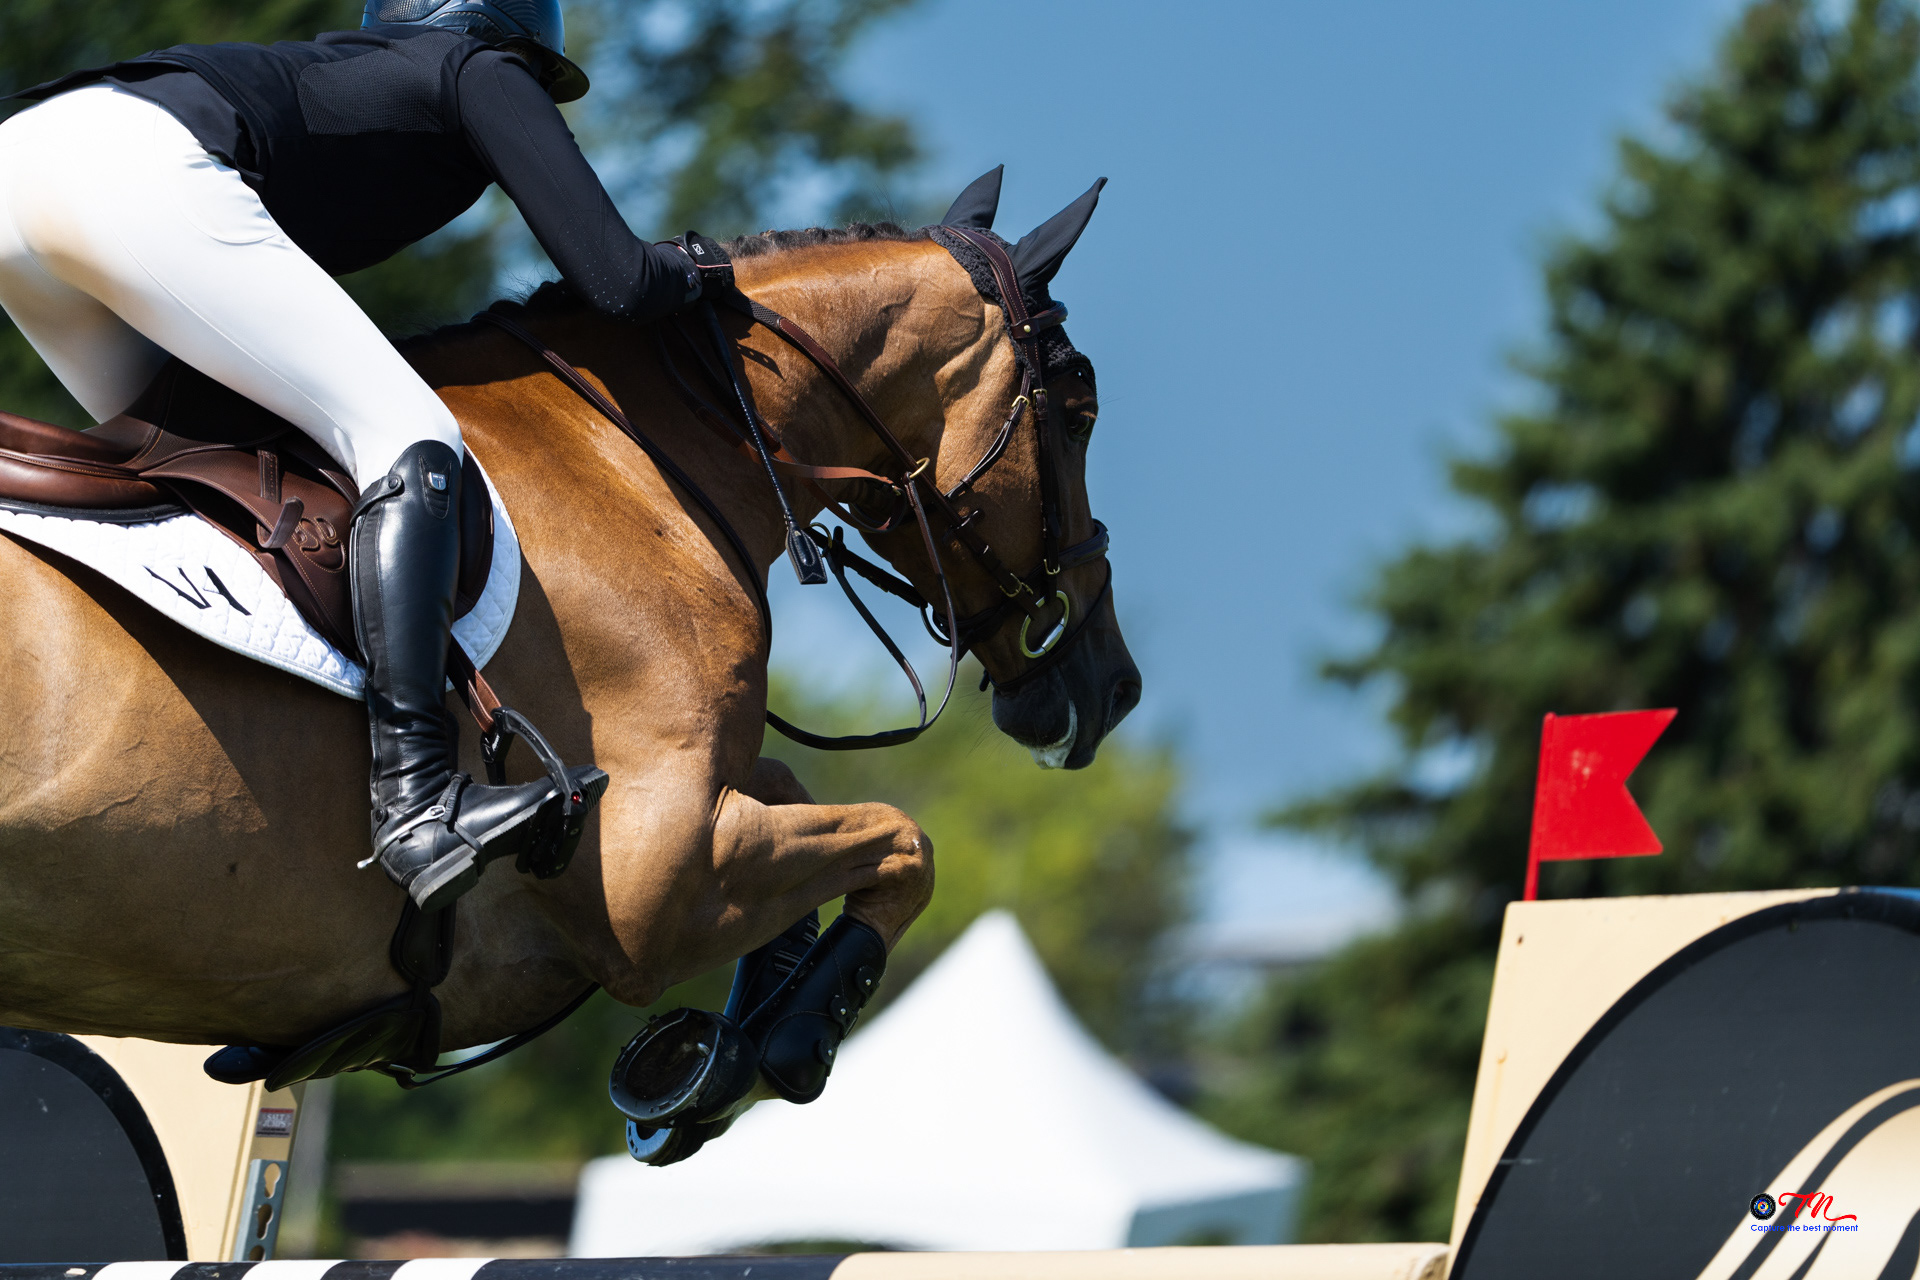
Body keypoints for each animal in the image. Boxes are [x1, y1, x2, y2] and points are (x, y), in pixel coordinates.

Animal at [0, 180, 1139, 1080]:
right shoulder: (657, 882)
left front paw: (739, 1031)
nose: (1112, 688)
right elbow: (905, 844)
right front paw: (767, 1054)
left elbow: (798, 792)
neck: (633, 454)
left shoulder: (699, 815)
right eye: (1080, 404)